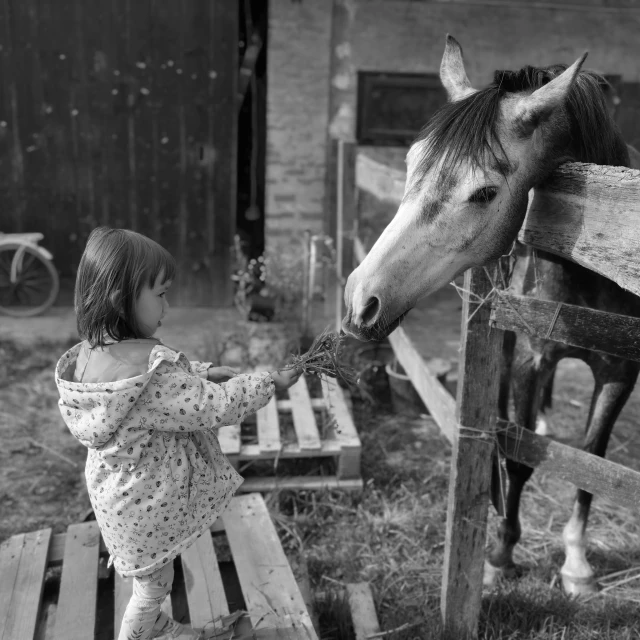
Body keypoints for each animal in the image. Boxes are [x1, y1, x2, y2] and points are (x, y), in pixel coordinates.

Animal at [342, 35, 636, 596]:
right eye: (410, 164)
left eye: (483, 192)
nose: (360, 301)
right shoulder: (529, 360)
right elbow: (519, 460)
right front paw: (501, 554)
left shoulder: (621, 372)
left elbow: (594, 462)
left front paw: (576, 564)